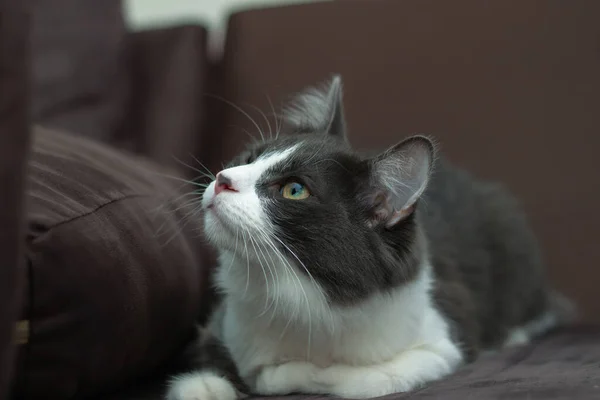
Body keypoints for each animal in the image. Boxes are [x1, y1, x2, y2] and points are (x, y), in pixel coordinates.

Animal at [166, 76, 576, 400]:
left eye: (294, 190)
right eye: (250, 157)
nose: (223, 179)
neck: (294, 294)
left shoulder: (442, 343)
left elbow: (361, 380)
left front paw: (278, 374)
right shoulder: (225, 320)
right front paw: (204, 385)